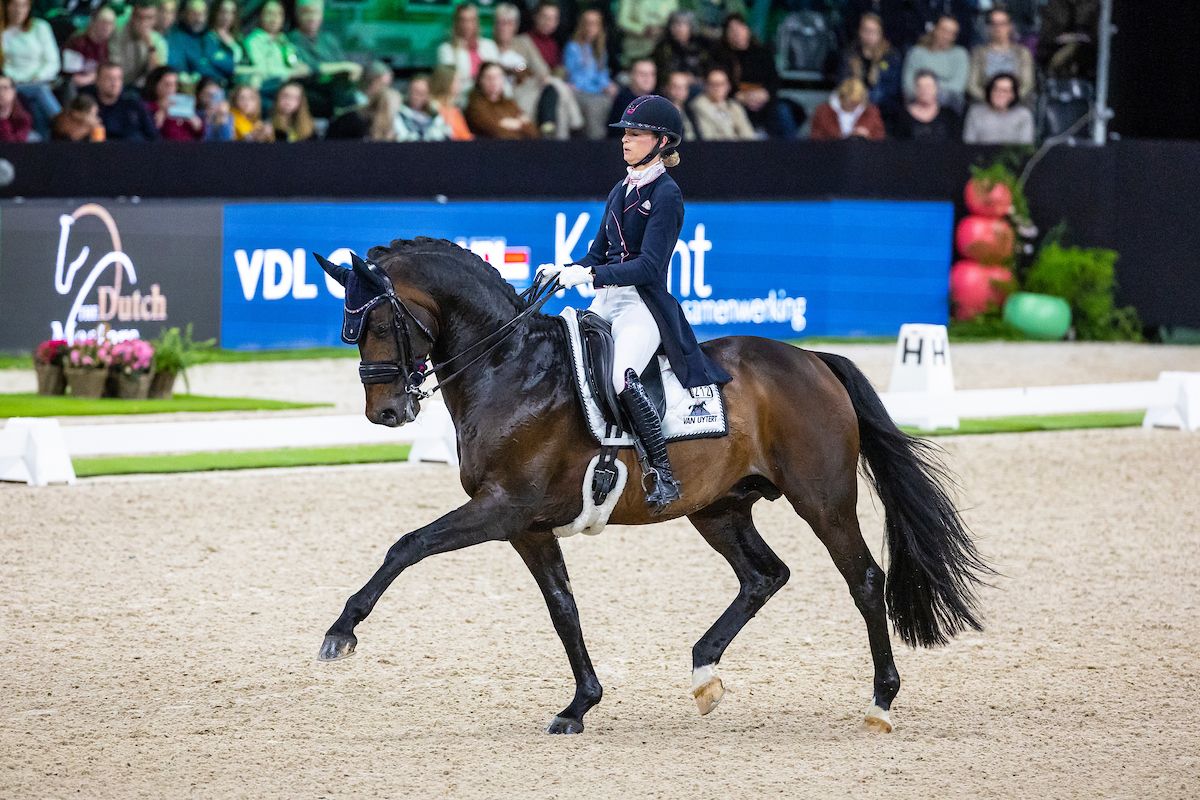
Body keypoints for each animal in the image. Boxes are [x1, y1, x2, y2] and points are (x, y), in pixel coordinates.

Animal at [314, 239, 988, 738]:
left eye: (379, 323)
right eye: (349, 329)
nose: (385, 412)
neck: (510, 369)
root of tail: (812, 359)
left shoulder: (501, 508)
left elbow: (407, 545)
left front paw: (340, 633)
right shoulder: (526, 527)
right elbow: (563, 608)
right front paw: (580, 705)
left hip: (821, 499)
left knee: (864, 580)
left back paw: (880, 703)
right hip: (718, 508)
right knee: (764, 575)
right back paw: (704, 674)